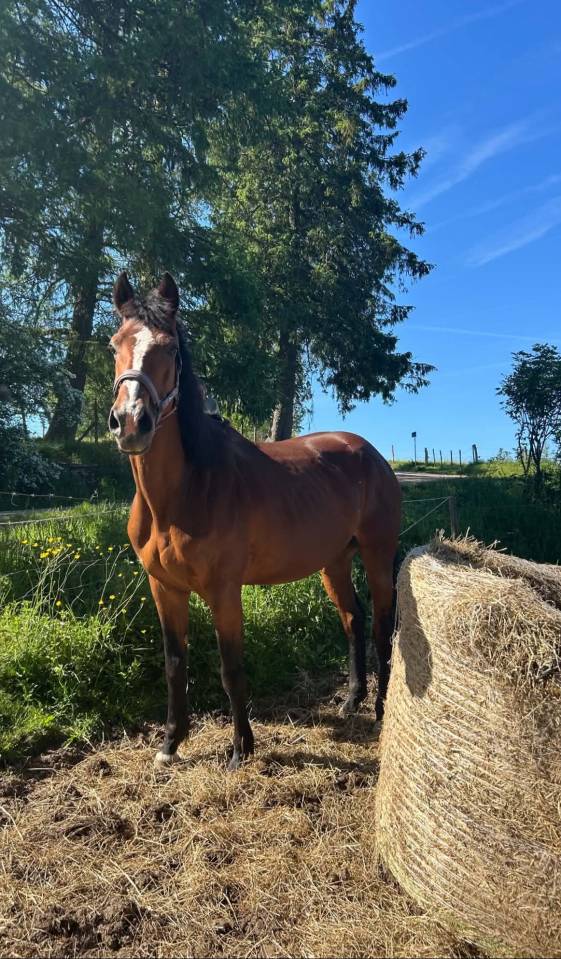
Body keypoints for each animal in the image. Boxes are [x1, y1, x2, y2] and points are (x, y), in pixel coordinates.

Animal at [108, 271, 401, 770]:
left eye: (170, 348)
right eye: (114, 345)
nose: (131, 423)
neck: (183, 492)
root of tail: (372, 455)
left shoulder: (224, 591)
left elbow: (231, 668)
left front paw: (239, 749)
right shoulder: (163, 588)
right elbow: (174, 664)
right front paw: (170, 744)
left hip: (378, 555)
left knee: (382, 623)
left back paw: (380, 709)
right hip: (334, 562)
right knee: (352, 617)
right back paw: (351, 701)